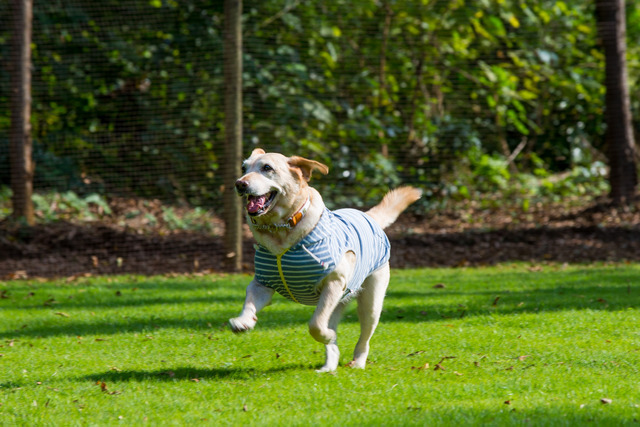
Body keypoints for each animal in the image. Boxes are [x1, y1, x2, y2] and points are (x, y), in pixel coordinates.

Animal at [229, 149, 420, 372]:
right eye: (244, 168)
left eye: (267, 168)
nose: (240, 183)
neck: (281, 230)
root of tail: (367, 215)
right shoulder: (262, 284)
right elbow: (250, 301)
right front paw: (243, 321)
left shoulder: (333, 283)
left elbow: (315, 325)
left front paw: (328, 335)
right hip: (339, 303)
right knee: (333, 336)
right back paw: (329, 366)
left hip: (370, 302)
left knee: (363, 337)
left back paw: (357, 362)